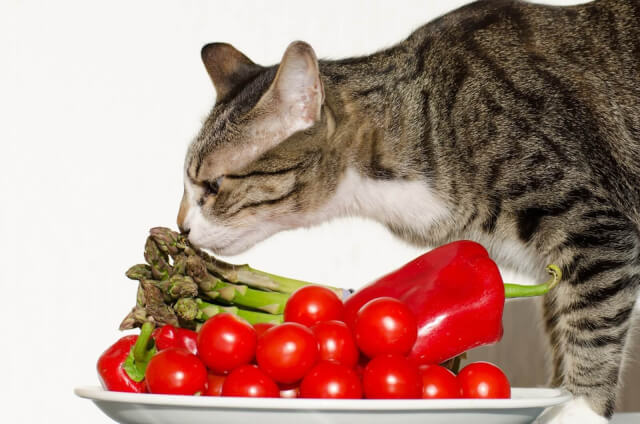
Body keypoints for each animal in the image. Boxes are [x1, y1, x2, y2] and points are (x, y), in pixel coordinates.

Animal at [176, 1, 640, 422]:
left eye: (212, 186)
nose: (181, 228)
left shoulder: (591, 227)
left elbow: (592, 322)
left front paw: (578, 407)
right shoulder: (556, 266)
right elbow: (561, 326)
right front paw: (560, 394)